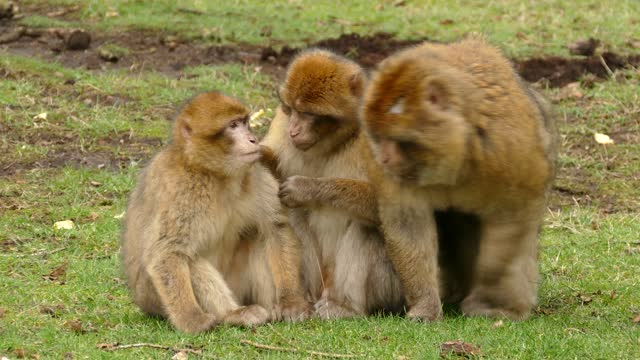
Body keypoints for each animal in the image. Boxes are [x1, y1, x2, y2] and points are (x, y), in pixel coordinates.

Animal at [121, 91, 312, 334]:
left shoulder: (254, 171)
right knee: (190, 260)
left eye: (244, 122)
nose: (253, 139)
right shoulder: (179, 191)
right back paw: (234, 314)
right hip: (153, 298)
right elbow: (167, 253)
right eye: (232, 126)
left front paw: (291, 302)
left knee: (259, 237)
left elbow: (275, 228)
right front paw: (191, 319)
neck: (214, 174)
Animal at [262, 48, 404, 318]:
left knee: (366, 227)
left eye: (308, 113)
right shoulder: (280, 123)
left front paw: (305, 189)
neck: (330, 144)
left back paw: (347, 308)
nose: (294, 130)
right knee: (292, 216)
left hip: (387, 287)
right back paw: (300, 300)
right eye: (291, 109)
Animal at [360, 35, 560, 320]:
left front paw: (488, 298)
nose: (384, 159)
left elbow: (512, 216)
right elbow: (408, 225)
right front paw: (425, 307)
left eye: (399, 140)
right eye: (378, 136)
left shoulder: (508, 149)